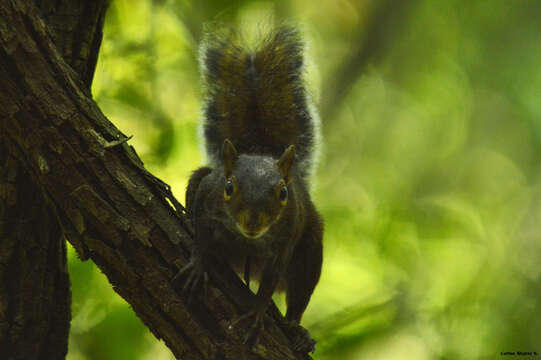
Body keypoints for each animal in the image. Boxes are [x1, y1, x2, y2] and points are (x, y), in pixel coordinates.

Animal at [175, 26, 322, 354]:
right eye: (229, 187)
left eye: (283, 193)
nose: (253, 222)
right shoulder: (207, 197)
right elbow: (201, 235)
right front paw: (199, 263)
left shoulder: (286, 238)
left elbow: (269, 283)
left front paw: (257, 313)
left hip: (310, 249)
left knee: (299, 293)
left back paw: (297, 331)